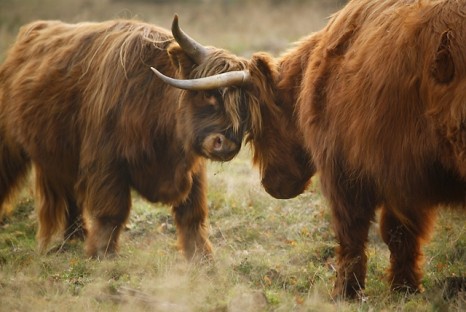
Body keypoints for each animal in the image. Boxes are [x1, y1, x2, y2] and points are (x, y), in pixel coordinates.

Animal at [0, 17, 262, 260]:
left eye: (245, 109)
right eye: (209, 95)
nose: (226, 145)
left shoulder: (191, 167)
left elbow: (192, 213)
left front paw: (201, 257)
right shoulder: (106, 160)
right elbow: (112, 209)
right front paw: (102, 254)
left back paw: (75, 236)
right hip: (9, 142)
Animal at [155, 0, 466, 298]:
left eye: (256, 128)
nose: (270, 185)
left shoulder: (346, 169)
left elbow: (356, 232)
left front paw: (345, 292)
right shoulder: (403, 175)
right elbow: (402, 235)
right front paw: (405, 289)